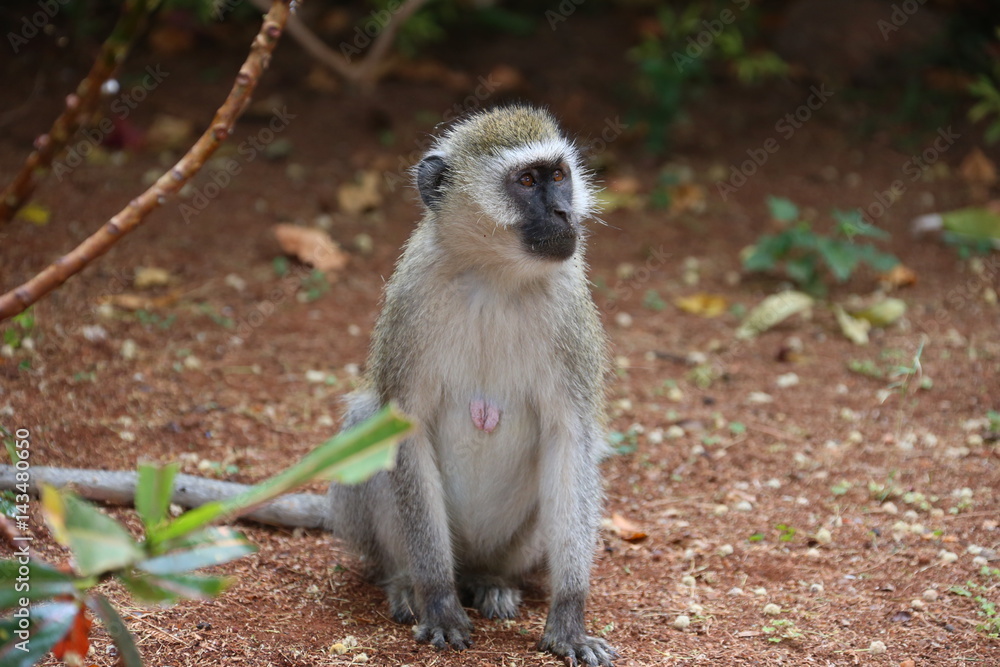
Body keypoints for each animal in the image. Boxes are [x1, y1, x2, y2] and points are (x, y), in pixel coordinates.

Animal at [325, 105, 618, 666]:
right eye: (526, 182)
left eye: (558, 177)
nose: (564, 214)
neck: (494, 275)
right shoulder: (413, 295)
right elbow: (402, 430)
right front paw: (438, 602)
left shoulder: (569, 303)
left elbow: (572, 440)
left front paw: (569, 618)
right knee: (367, 421)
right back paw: (408, 582)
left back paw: (493, 581)